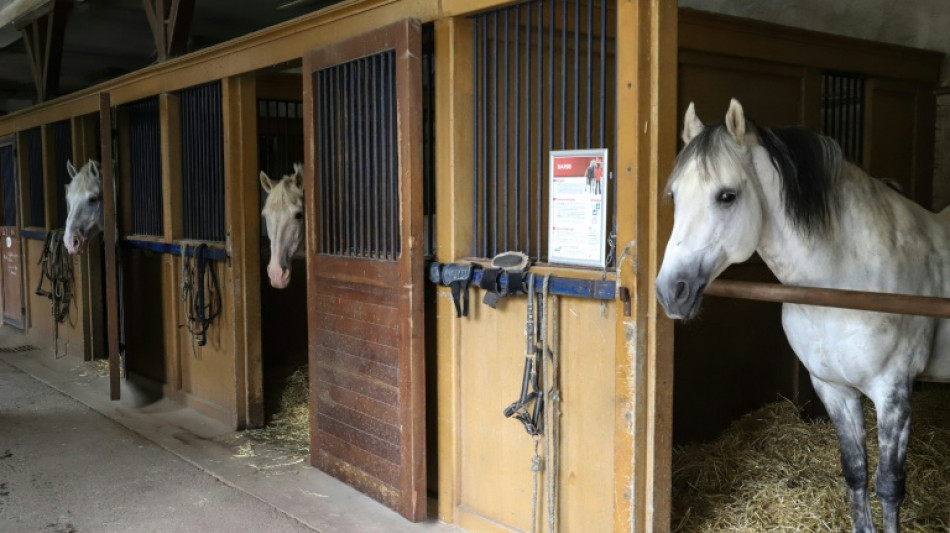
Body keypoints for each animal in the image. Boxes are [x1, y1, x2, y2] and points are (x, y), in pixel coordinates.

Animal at [656, 99, 950, 533]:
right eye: (674, 195)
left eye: (727, 196)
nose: (670, 292)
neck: (843, 282)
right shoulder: (833, 389)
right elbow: (856, 474)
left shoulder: (892, 391)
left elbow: (889, 486)